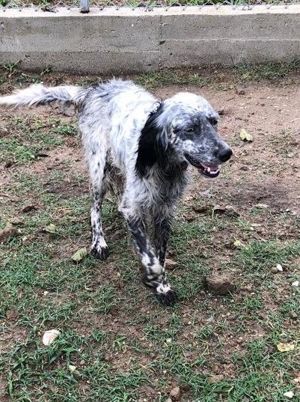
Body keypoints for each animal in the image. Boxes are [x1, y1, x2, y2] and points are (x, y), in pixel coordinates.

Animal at [0, 78, 233, 304]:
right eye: (190, 128)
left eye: (214, 122)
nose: (226, 153)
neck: (162, 166)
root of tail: (93, 90)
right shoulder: (133, 208)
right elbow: (151, 258)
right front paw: (153, 278)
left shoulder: (164, 211)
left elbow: (159, 253)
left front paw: (162, 286)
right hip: (99, 171)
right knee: (94, 209)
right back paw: (99, 242)